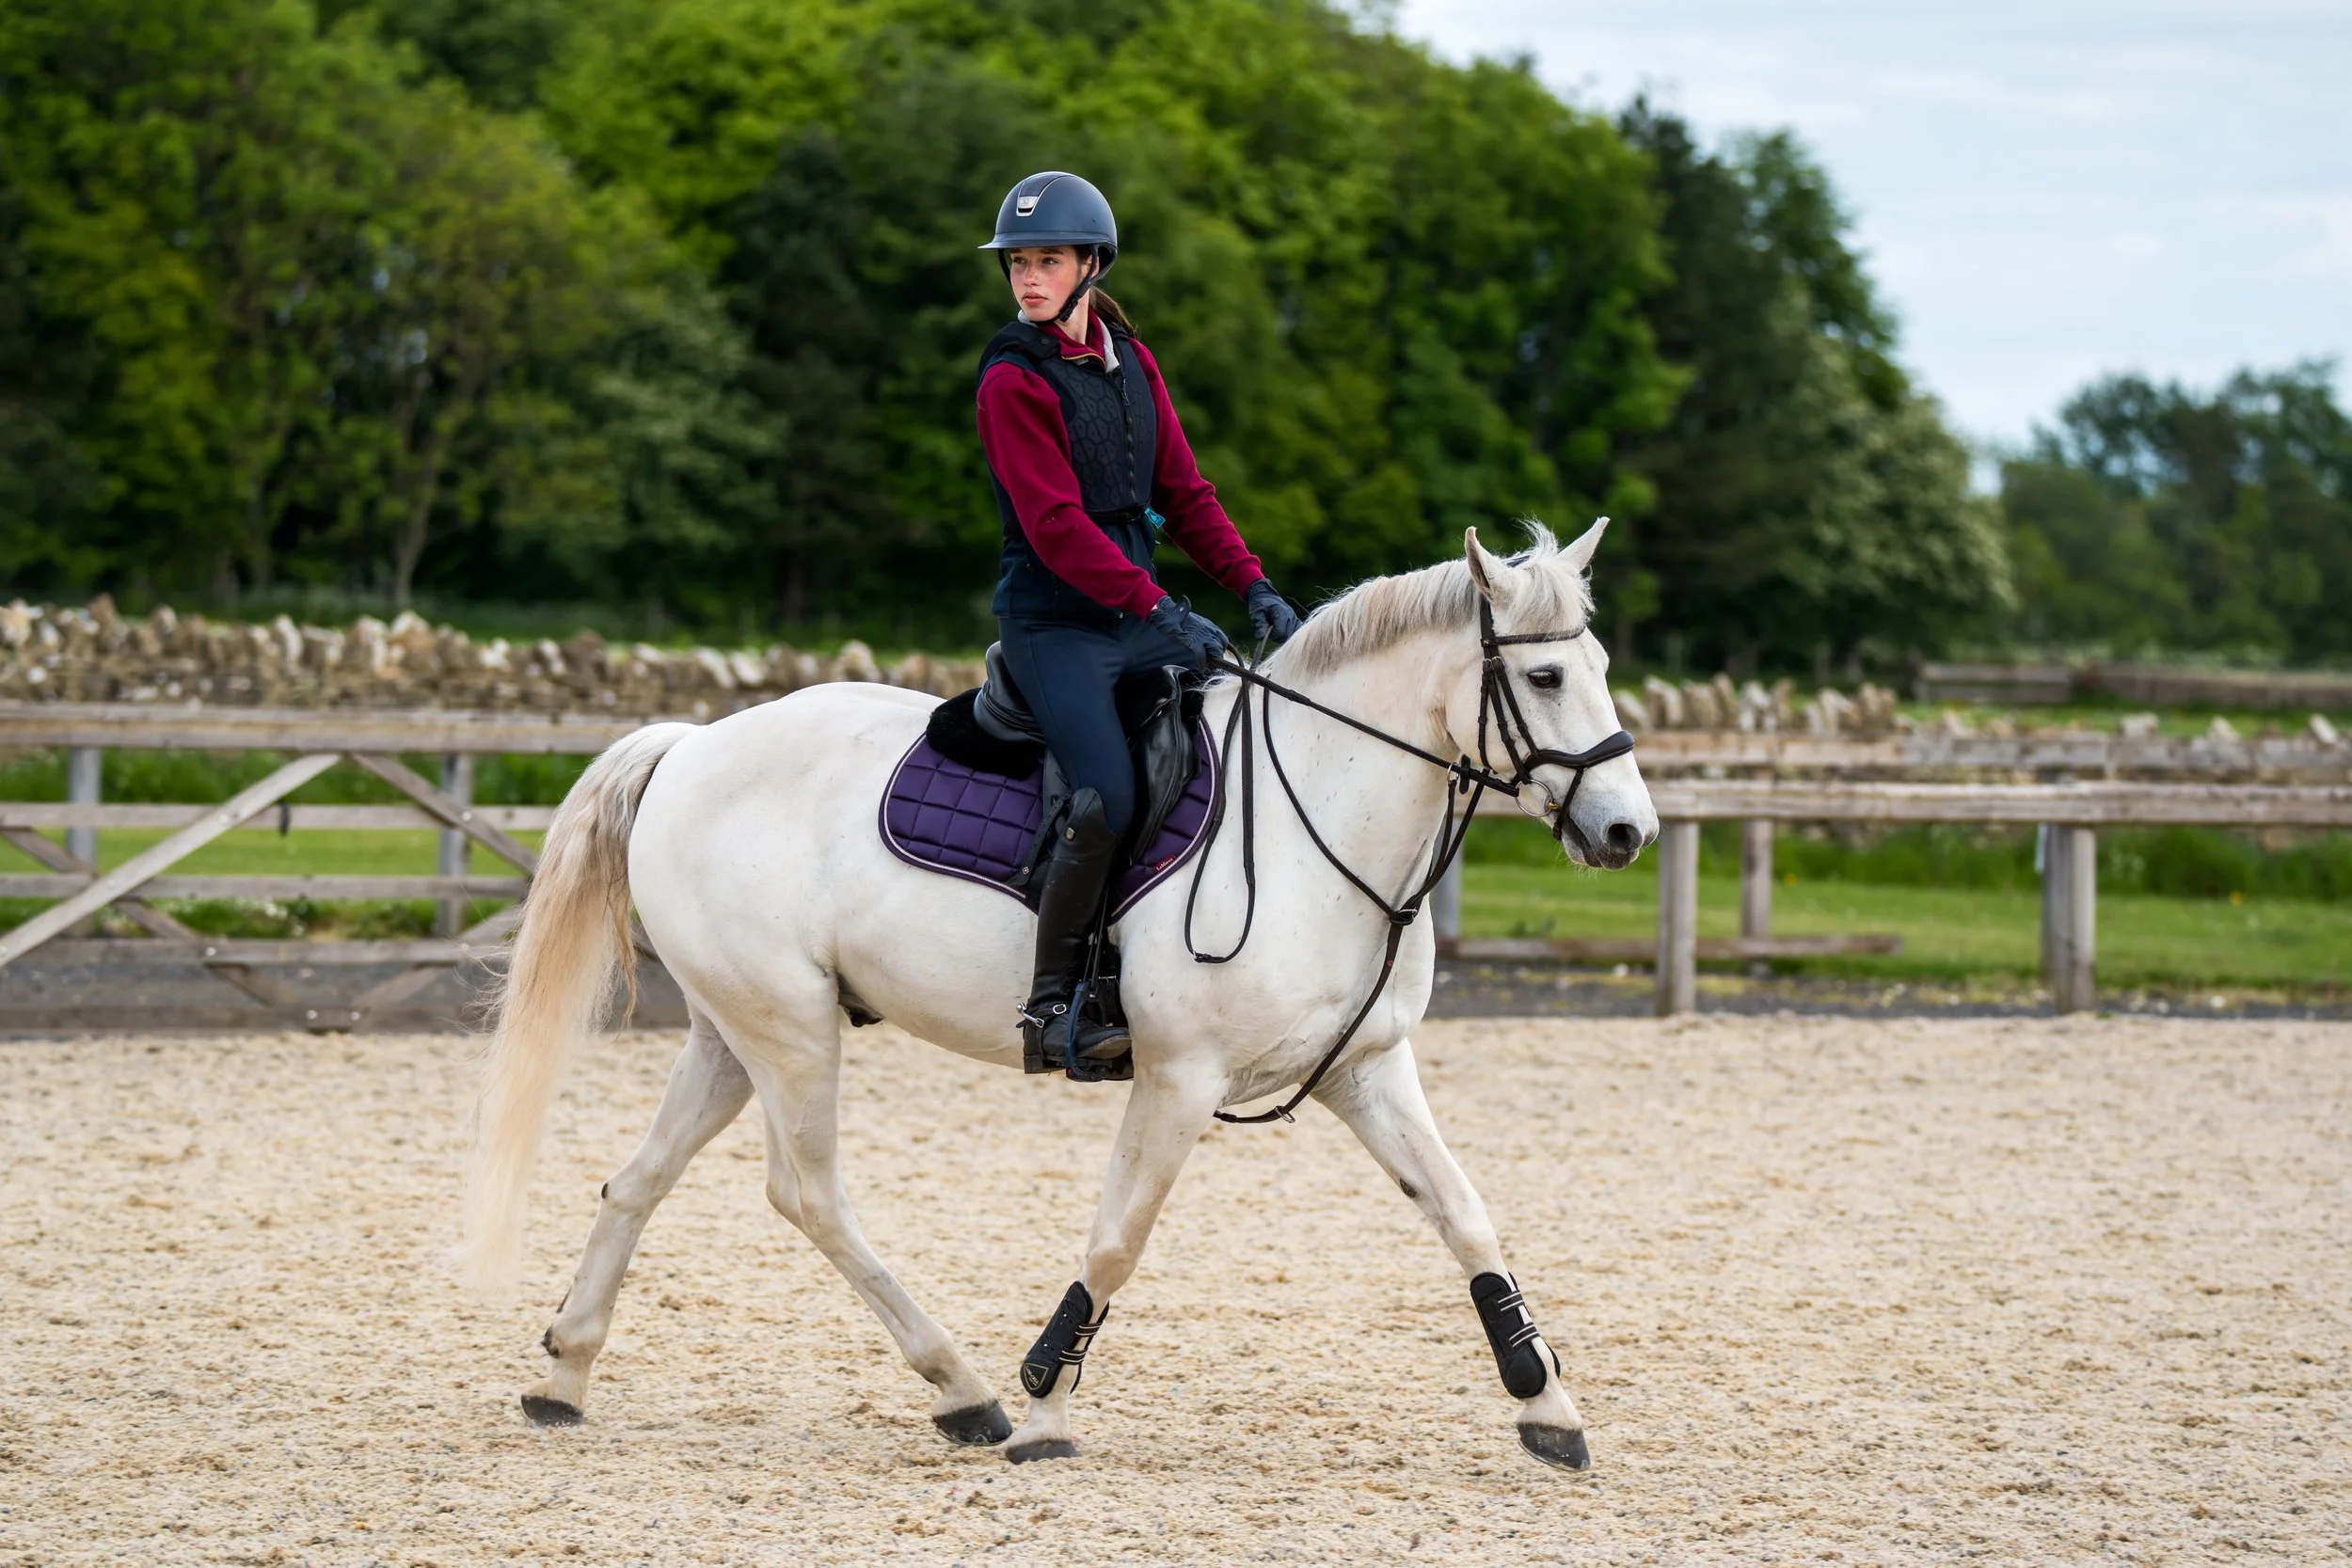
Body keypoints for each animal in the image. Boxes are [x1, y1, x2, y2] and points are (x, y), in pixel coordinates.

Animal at [460, 519, 1658, 1470]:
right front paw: (1045, 1404)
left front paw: (1547, 1403)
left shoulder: (1365, 1069)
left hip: (732, 1029)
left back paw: (563, 1373)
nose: (1626, 831)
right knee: (809, 1194)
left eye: (1597, 662)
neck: (1316, 809)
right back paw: (967, 1388)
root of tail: (693, 744)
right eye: (1545, 679)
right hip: (788, 1030)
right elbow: (1117, 1238)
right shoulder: (1179, 1077)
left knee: (639, 1177)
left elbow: (1465, 1214)